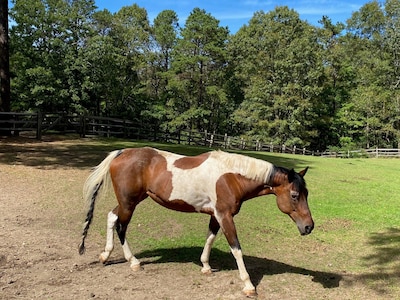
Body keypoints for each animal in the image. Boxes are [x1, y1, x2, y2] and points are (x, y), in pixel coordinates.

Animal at [78, 147, 314, 296]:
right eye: (295, 195)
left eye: (307, 193)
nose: (309, 226)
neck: (231, 176)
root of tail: (122, 152)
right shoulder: (225, 216)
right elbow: (236, 248)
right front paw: (248, 285)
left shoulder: (215, 216)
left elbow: (210, 238)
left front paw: (206, 266)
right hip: (129, 203)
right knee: (122, 227)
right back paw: (133, 262)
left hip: (130, 201)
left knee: (111, 217)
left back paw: (105, 255)